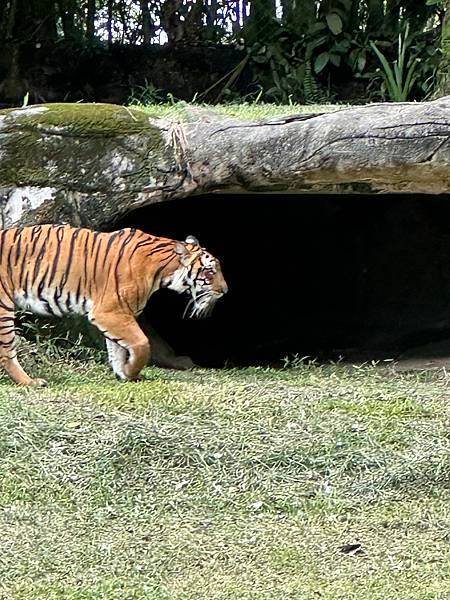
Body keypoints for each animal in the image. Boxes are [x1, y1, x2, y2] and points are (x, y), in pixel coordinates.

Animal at [0, 224, 229, 384]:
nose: (225, 291)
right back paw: (29, 382)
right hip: (3, 310)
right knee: (7, 352)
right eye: (210, 272)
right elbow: (141, 344)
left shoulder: (119, 314)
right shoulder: (110, 312)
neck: (162, 271)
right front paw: (130, 371)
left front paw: (124, 375)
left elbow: (117, 349)